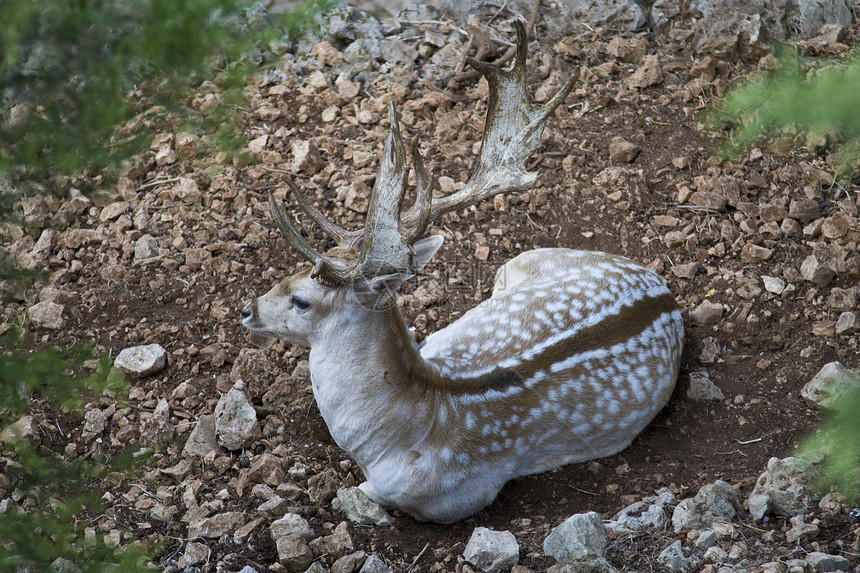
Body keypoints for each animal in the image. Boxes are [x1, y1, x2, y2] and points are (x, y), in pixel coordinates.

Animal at [244, 21, 684, 524]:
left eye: (301, 300)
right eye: (291, 273)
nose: (248, 309)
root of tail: (665, 293)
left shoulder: (457, 497)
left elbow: (360, 492)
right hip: (518, 263)